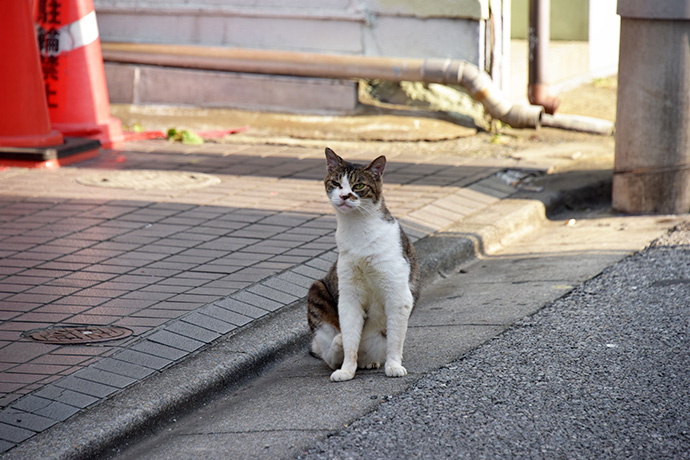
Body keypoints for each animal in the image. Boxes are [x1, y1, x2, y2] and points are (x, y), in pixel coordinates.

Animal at [306, 147, 420, 380]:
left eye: (358, 186)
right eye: (336, 183)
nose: (344, 196)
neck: (358, 229)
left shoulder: (398, 294)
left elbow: (395, 340)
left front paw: (393, 366)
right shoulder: (349, 294)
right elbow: (351, 337)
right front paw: (346, 370)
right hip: (316, 291)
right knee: (330, 354)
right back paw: (338, 345)